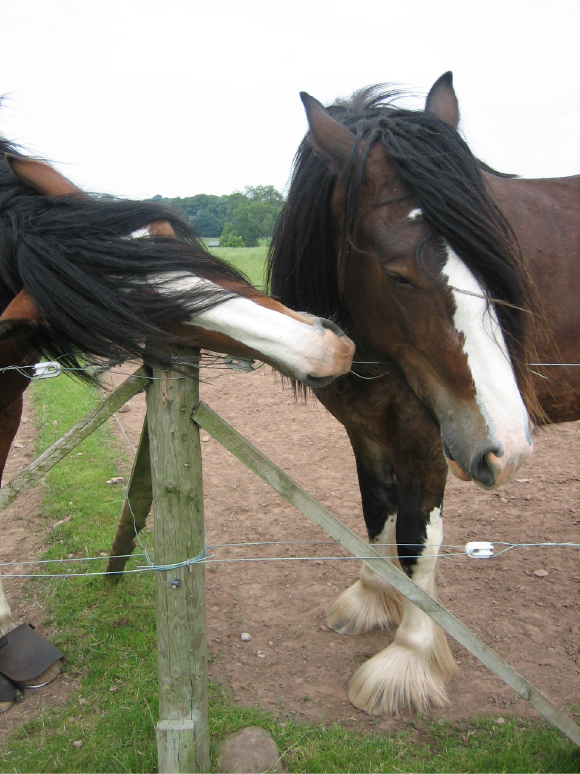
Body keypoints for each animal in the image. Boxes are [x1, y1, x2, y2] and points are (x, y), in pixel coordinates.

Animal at [267, 72, 580, 715]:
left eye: (495, 261)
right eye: (397, 274)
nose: (509, 448)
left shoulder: (426, 434)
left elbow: (418, 539)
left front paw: (407, 657)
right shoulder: (365, 427)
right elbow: (376, 512)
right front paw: (370, 598)